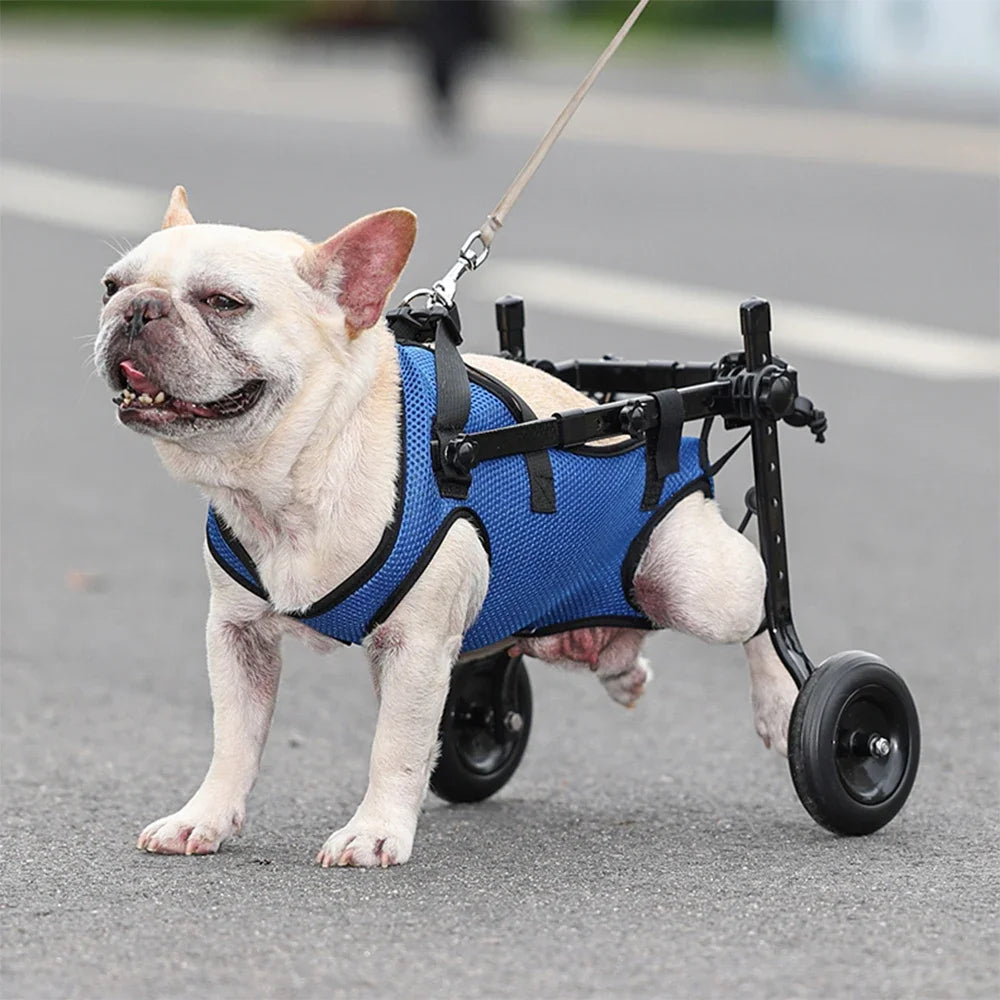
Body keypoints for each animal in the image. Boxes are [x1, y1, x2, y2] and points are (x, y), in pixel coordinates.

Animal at [94, 188, 796, 868]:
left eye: (224, 302)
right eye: (110, 285)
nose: (137, 308)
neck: (291, 481)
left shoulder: (416, 647)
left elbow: (394, 744)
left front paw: (374, 833)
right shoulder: (239, 637)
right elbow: (234, 739)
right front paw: (204, 818)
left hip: (698, 588)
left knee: (762, 604)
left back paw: (780, 703)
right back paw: (619, 669)